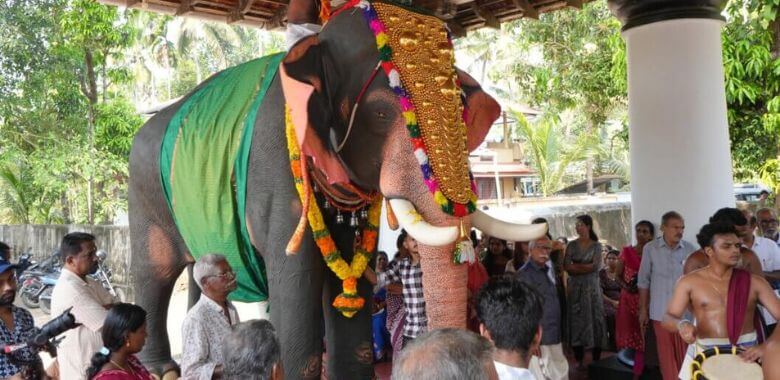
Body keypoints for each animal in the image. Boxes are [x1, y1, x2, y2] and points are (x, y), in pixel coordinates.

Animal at [128, 1, 544, 378]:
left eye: (461, 110)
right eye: (380, 113)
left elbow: (352, 273)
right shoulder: (276, 170)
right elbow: (296, 278)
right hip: (144, 192)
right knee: (155, 274)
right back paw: (161, 369)